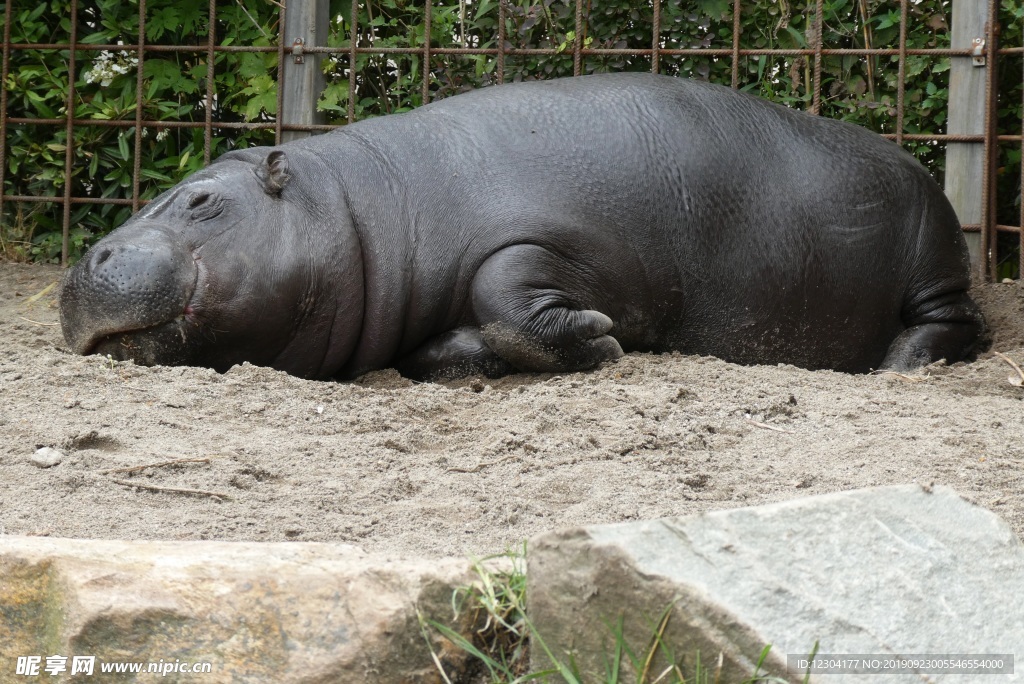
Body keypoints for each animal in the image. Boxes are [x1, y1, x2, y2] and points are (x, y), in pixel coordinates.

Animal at [58, 72, 983, 382]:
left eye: (201, 200)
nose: (90, 258)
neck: (363, 210)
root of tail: (915, 164)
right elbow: (447, 344)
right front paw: (464, 356)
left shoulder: (552, 242)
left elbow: (508, 290)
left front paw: (602, 338)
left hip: (934, 263)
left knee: (954, 324)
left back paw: (898, 368)